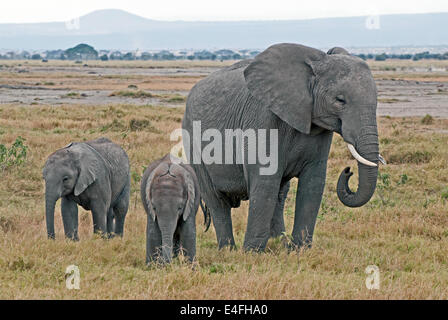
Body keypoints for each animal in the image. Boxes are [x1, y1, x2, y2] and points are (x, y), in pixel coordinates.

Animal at [182, 43, 384, 252]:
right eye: (340, 100)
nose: (348, 171)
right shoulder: (262, 117)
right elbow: (265, 181)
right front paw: (252, 253)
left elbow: (313, 182)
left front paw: (299, 250)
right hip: (192, 141)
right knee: (217, 200)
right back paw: (229, 250)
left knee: (279, 194)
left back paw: (278, 242)